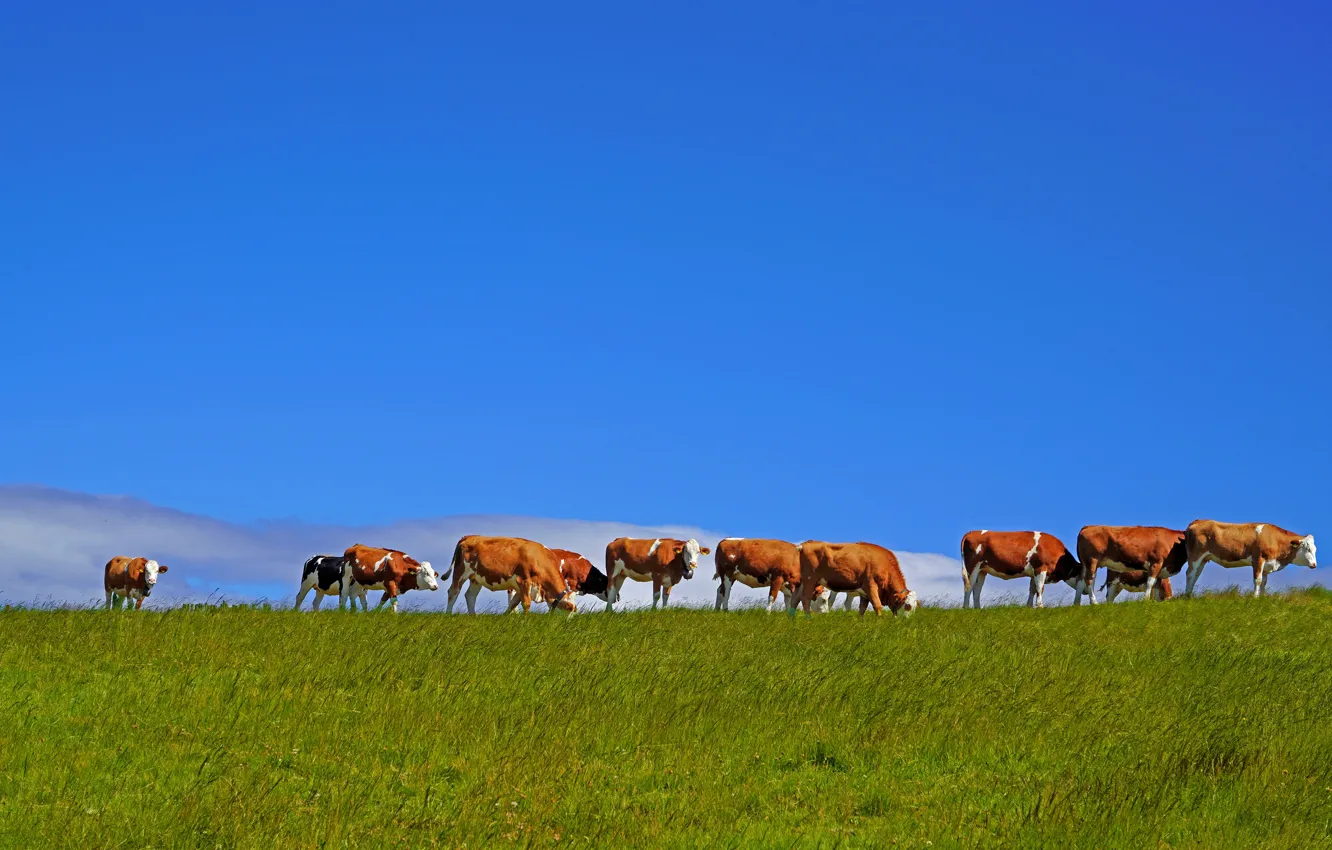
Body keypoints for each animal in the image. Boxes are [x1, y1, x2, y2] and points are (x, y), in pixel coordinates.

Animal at [447, 536, 576, 613]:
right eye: (569, 608)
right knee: (453, 592)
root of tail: (469, 536)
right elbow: (526, 604)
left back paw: (473, 615)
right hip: (460, 572)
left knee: (470, 596)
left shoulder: (520, 588)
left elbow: (513, 604)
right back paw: (448, 614)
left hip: (476, 578)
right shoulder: (524, 581)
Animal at [1184, 520, 1317, 598]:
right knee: (1190, 574)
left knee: (1196, 575)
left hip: (1204, 559)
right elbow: (1257, 580)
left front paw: (1262, 598)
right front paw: (1255, 598)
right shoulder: (1258, 559)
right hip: (1195, 555)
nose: (1315, 564)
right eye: (1307, 549)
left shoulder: (1266, 565)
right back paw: (1186, 596)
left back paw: (1190, 594)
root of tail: (1198, 520)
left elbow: (1264, 583)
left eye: (1315, 549)